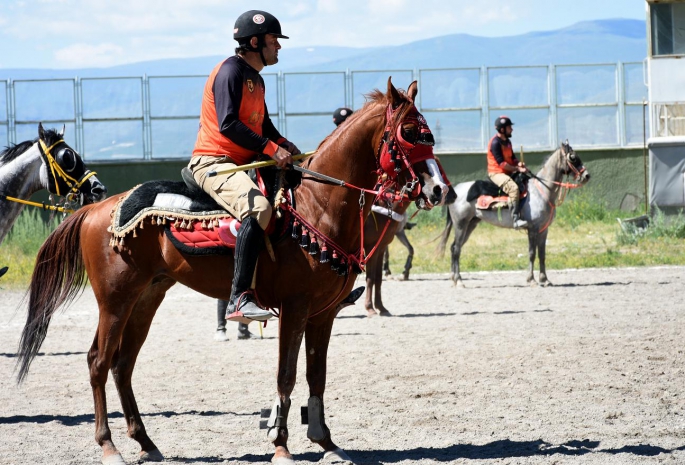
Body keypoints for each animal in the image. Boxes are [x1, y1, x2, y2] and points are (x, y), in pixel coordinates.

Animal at [16, 78, 446, 462]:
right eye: (409, 132)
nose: (439, 189)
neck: (316, 206)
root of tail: (95, 210)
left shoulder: (322, 315)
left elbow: (316, 375)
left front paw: (325, 441)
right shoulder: (295, 308)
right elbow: (286, 375)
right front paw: (281, 446)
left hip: (147, 297)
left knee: (123, 366)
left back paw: (147, 443)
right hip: (115, 300)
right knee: (98, 362)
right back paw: (109, 447)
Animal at [438, 141, 588, 286]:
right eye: (573, 157)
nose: (586, 176)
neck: (541, 191)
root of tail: (455, 191)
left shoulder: (544, 230)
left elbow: (542, 254)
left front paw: (544, 279)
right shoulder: (533, 229)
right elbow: (532, 253)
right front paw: (531, 279)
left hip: (470, 224)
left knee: (454, 247)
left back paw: (454, 278)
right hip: (460, 225)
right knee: (456, 249)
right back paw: (459, 280)